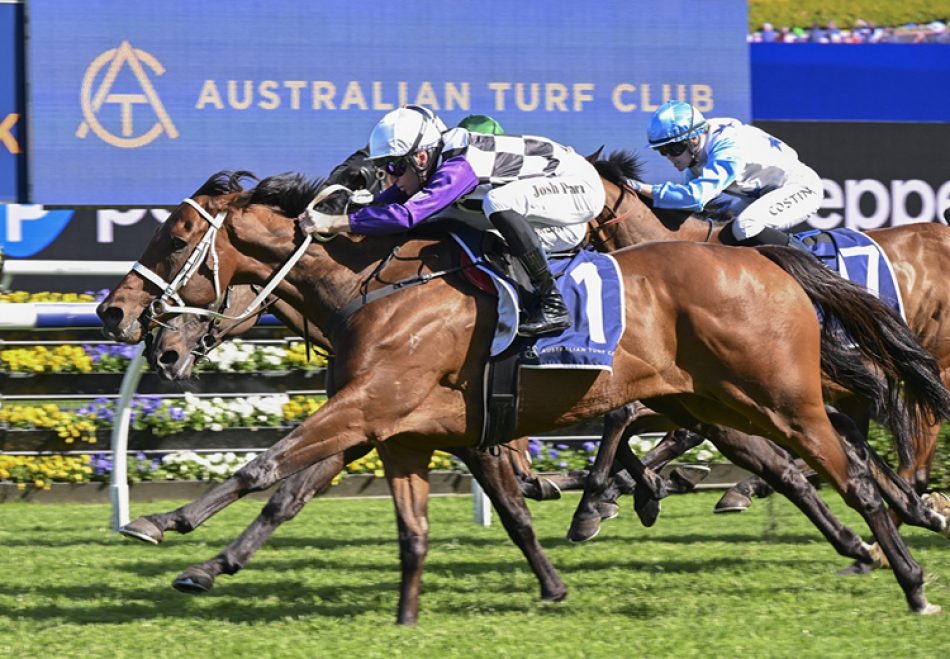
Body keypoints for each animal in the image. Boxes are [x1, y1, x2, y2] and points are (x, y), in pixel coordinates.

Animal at [96, 171, 950, 616]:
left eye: (176, 234)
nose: (119, 314)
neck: (377, 287)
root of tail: (764, 259)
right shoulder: (404, 418)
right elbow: (299, 493)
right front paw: (210, 560)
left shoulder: (371, 404)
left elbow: (264, 468)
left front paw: (165, 523)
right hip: (717, 401)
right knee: (808, 466)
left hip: (777, 395)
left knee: (850, 469)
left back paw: (908, 567)